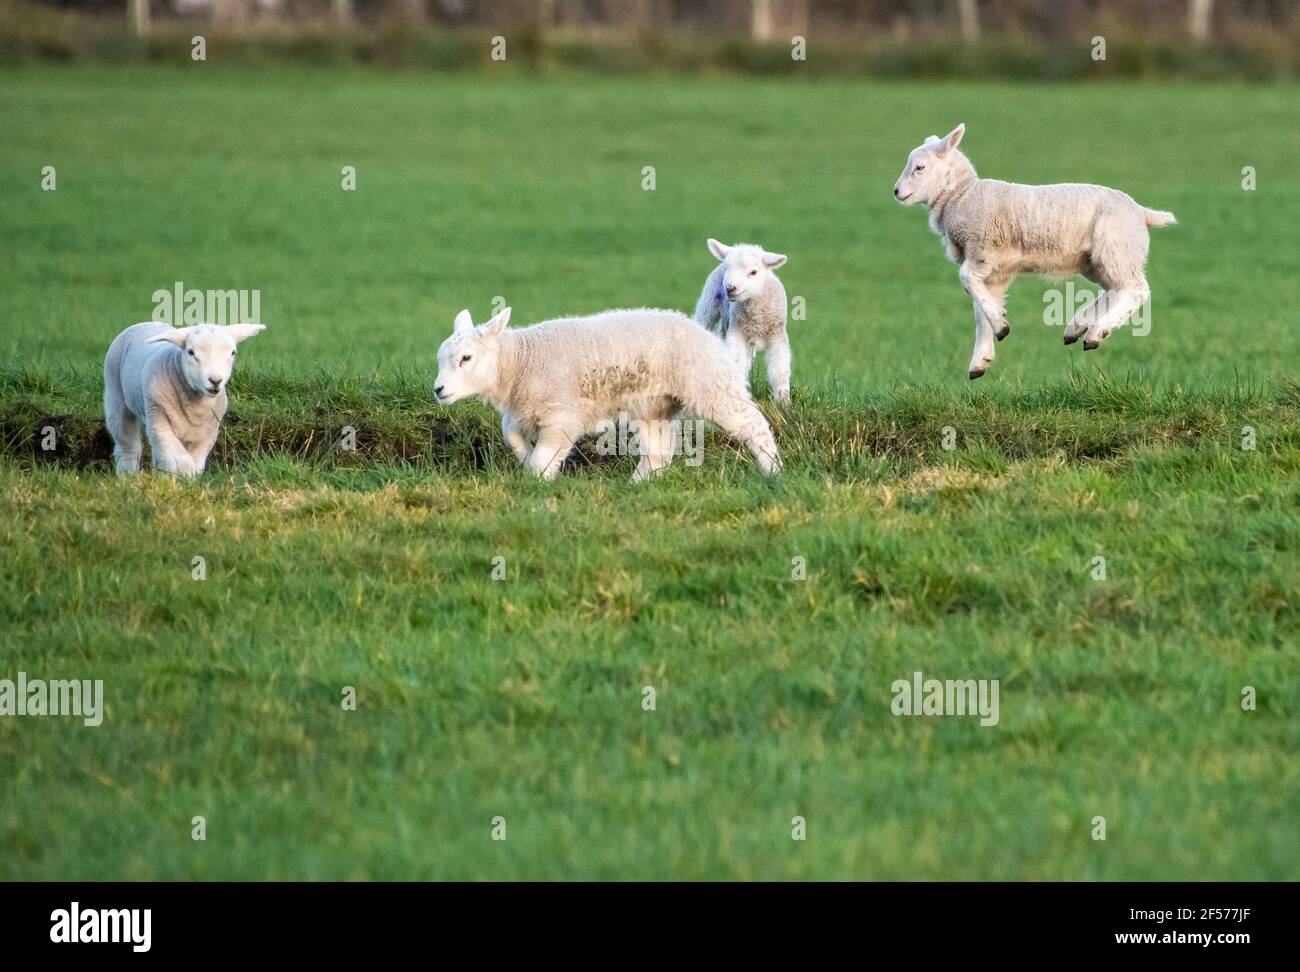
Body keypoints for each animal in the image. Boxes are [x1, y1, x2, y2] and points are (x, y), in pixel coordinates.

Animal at [104, 322, 266, 478]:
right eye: (191, 352)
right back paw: (127, 476)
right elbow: (180, 460)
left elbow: (194, 461)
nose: (215, 380)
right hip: (116, 397)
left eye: (232, 353)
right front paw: (184, 478)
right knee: (127, 444)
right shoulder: (160, 421)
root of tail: (142, 323)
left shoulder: (206, 434)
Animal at [434, 307, 780, 483]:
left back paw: (774, 472)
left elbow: (543, 458)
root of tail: (708, 336)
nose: (438, 390)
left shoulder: (561, 416)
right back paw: (638, 486)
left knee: (754, 425)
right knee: (658, 452)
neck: (520, 362)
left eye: (466, 358)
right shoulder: (524, 410)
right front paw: (528, 458)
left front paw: (539, 482)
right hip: (654, 405)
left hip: (709, 384)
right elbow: (512, 436)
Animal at [691, 240, 790, 405]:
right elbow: (737, 364)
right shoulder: (737, 333)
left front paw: (784, 402)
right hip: (708, 306)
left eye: (753, 272)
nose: (730, 288)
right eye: (727, 269)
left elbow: (779, 369)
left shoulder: (777, 334)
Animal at [894, 122, 1180, 379]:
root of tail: (1141, 212)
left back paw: (1097, 333)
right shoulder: (995, 272)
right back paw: (1078, 327)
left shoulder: (982, 251)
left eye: (920, 168)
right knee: (1115, 289)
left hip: (1116, 249)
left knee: (1137, 290)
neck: (962, 196)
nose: (896, 192)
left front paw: (1000, 326)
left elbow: (966, 281)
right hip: (1098, 259)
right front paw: (982, 358)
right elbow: (979, 309)